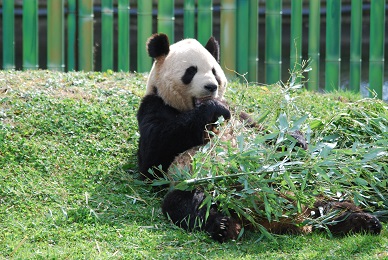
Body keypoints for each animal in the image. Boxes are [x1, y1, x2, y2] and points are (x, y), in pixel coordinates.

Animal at [137, 33, 382, 243]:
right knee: (188, 205)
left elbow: (265, 134)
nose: (211, 86)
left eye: (214, 71)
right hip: (200, 184)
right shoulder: (154, 107)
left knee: (331, 204)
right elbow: (152, 158)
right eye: (191, 71)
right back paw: (224, 226)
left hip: (305, 187)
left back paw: (362, 221)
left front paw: (296, 140)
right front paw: (213, 109)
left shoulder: (240, 115)